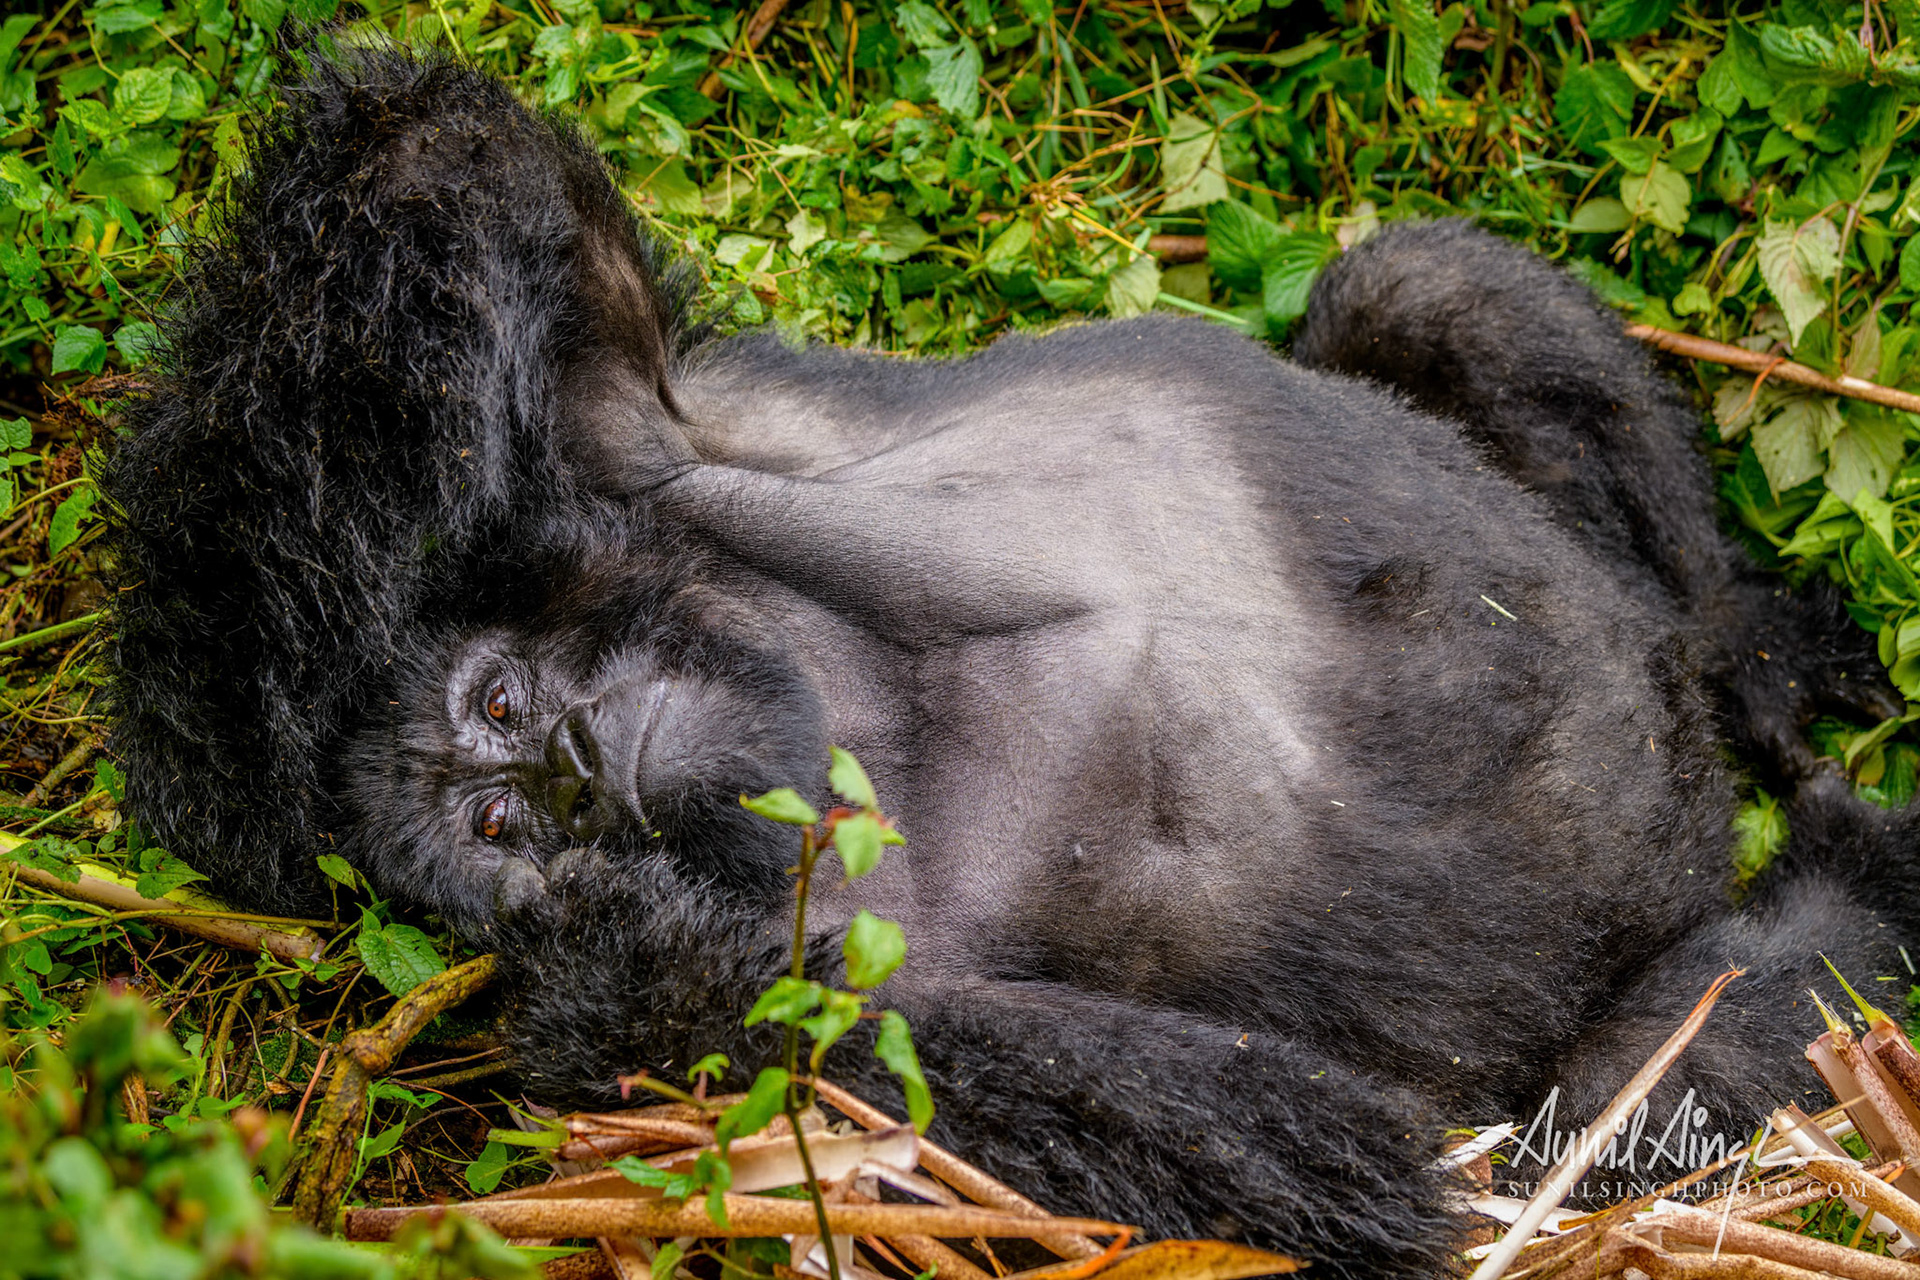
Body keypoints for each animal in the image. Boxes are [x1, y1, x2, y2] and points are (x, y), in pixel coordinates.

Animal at [100, 41, 1920, 1277]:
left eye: (496, 708)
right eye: (495, 828)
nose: (567, 760)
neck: (841, 702)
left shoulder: (658, 443)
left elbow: (437, 172)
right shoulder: (721, 1049)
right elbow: (1376, 1167)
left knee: (1428, 294)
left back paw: (1745, 651)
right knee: (1624, 1094)